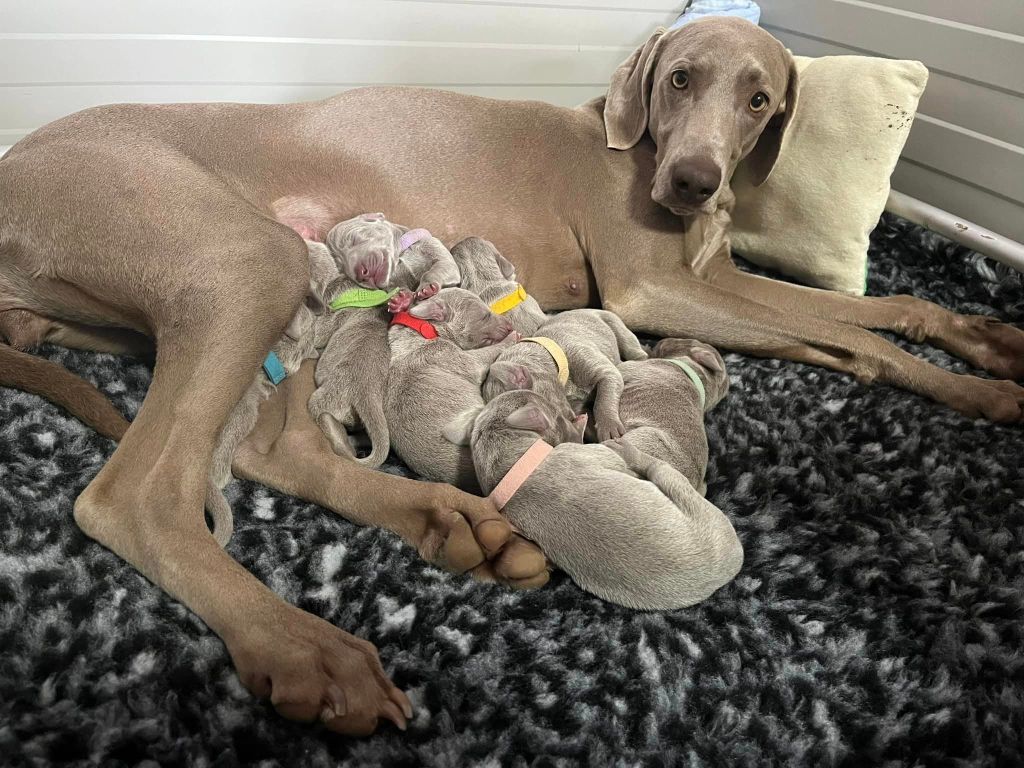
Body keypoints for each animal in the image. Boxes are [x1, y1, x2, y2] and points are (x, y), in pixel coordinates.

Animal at [2, 16, 1022, 735]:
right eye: (681, 78)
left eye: (761, 99)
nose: (692, 181)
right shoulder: (653, 285)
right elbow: (858, 343)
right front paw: (959, 383)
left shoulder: (711, 277)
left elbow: (878, 314)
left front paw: (984, 349)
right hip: (240, 260)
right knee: (137, 495)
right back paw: (306, 650)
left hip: (273, 293)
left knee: (272, 448)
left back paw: (456, 524)